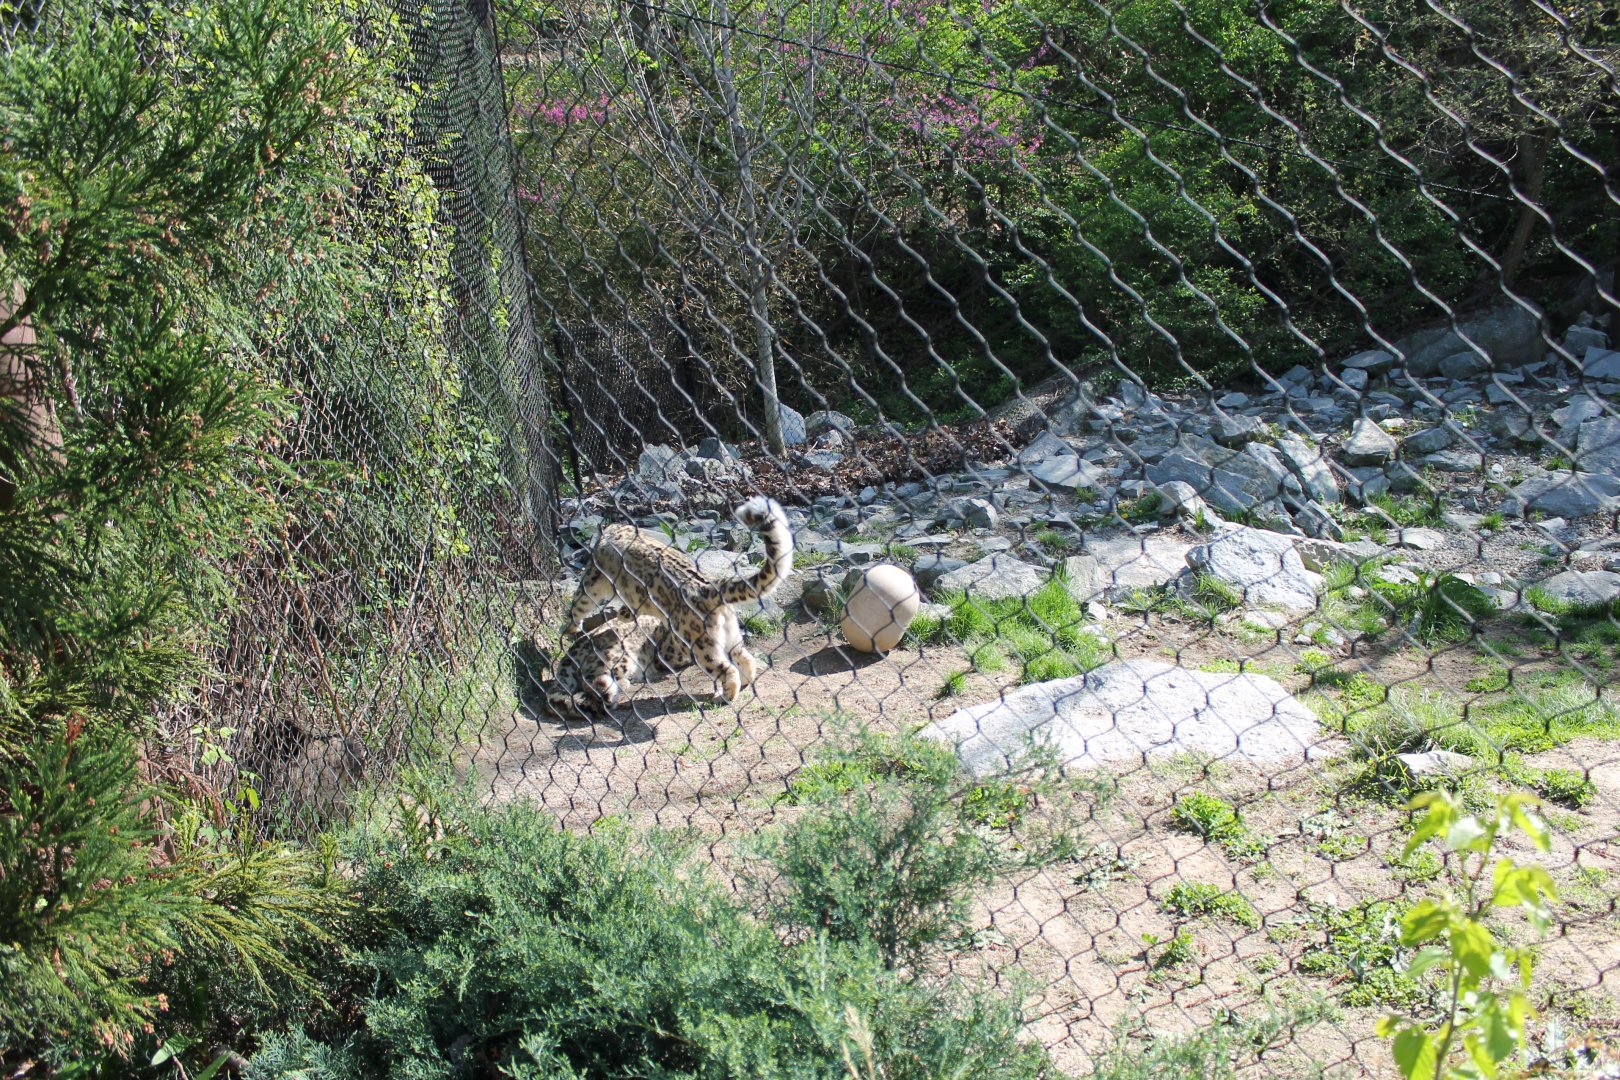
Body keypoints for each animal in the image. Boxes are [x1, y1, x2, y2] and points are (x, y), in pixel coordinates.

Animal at [564, 495, 793, 702]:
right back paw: (746, 681)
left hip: (700, 644)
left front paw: (571, 628)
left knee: (726, 668)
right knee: (744, 657)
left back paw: (724, 696)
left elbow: (580, 602)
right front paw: (624, 613)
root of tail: (709, 587)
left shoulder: (593, 577)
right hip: (730, 632)